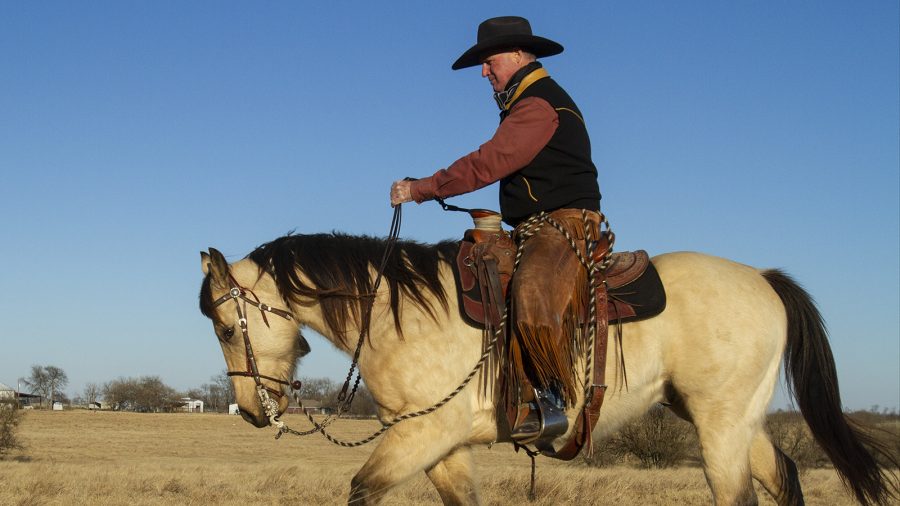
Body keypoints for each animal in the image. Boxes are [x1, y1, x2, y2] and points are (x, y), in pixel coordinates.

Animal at [198, 231, 896, 505]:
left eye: (228, 328)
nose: (253, 412)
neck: (404, 315)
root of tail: (764, 279)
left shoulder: (423, 436)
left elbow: (361, 491)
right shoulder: (443, 448)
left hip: (721, 428)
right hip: (735, 421)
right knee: (784, 475)